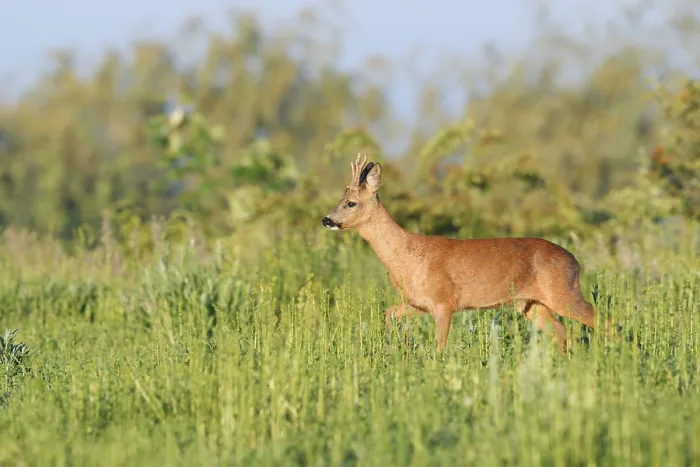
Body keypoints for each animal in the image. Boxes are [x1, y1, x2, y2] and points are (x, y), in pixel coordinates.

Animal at [321, 153, 612, 354]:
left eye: (350, 203)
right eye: (339, 200)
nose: (327, 220)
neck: (408, 256)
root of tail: (575, 261)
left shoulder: (444, 300)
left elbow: (439, 346)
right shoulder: (419, 301)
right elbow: (389, 313)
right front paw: (401, 344)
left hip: (563, 292)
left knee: (605, 320)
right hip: (531, 304)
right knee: (562, 332)